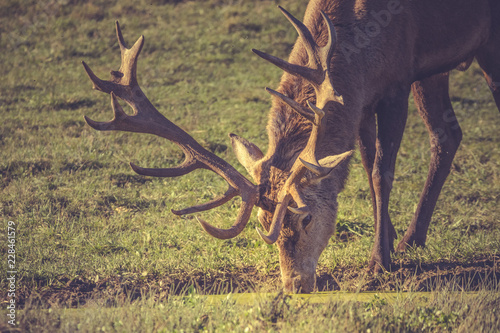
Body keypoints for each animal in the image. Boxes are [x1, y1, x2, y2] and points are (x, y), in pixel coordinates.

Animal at [83, 0, 500, 290]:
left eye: (307, 217)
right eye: (263, 222)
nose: (295, 285)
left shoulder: (396, 83)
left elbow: (382, 171)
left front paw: (379, 261)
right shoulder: (363, 101)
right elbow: (364, 167)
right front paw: (389, 237)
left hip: (483, 50)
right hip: (436, 69)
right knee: (447, 136)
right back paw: (414, 237)